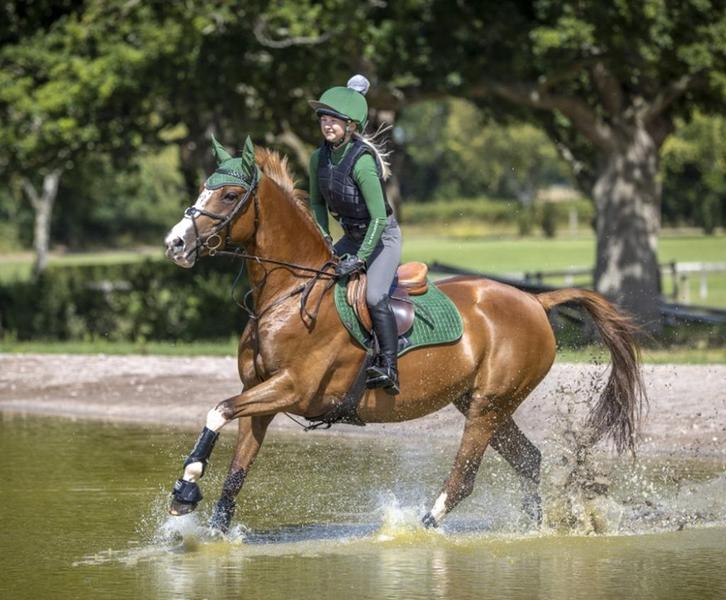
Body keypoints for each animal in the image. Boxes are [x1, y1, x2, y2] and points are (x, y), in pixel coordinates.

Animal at [163, 139, 646, 533]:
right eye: (203, 188)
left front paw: (185, 489)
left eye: (228, 195)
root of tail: (535, 301)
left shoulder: (292, 388)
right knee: (528, 461)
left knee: (465, 477)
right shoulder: (260, 396)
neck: (289, 293)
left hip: (489, 404)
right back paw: (533, 530)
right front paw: (203, 523)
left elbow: (218, 409)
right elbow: (234, 472)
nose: (175, 244)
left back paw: (419, 529)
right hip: (482, 401)